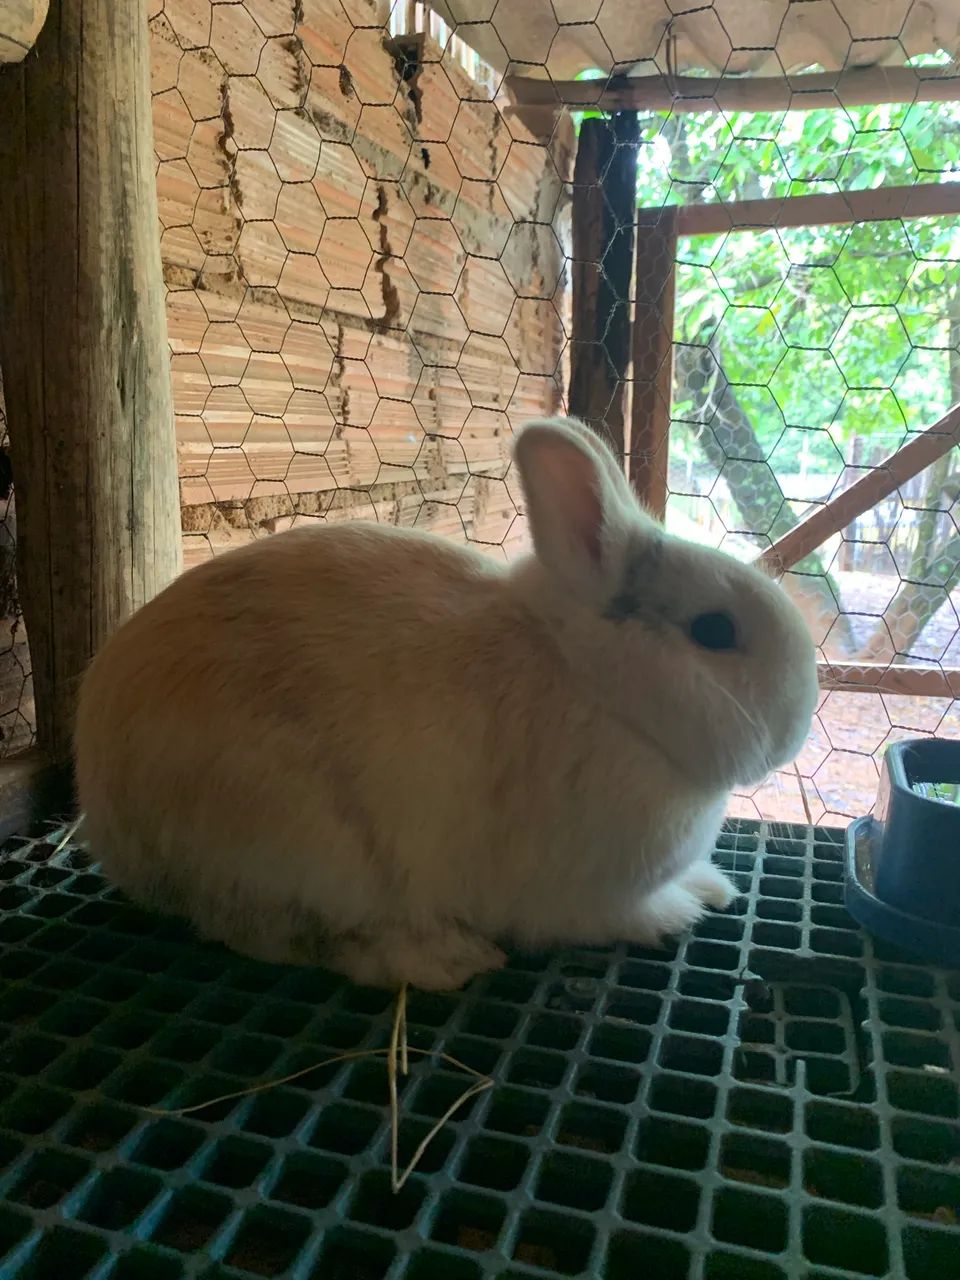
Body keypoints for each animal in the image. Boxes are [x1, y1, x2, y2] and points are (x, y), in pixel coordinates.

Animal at [74, 416, 819, 991]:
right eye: (715, 630)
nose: (801, 721)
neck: (596, 686)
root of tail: (110, 820)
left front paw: (710, 887)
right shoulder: (581, 893)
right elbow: (620, 914)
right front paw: (677, 913)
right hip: (299, 846)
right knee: (296, 938)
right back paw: (445, 960)